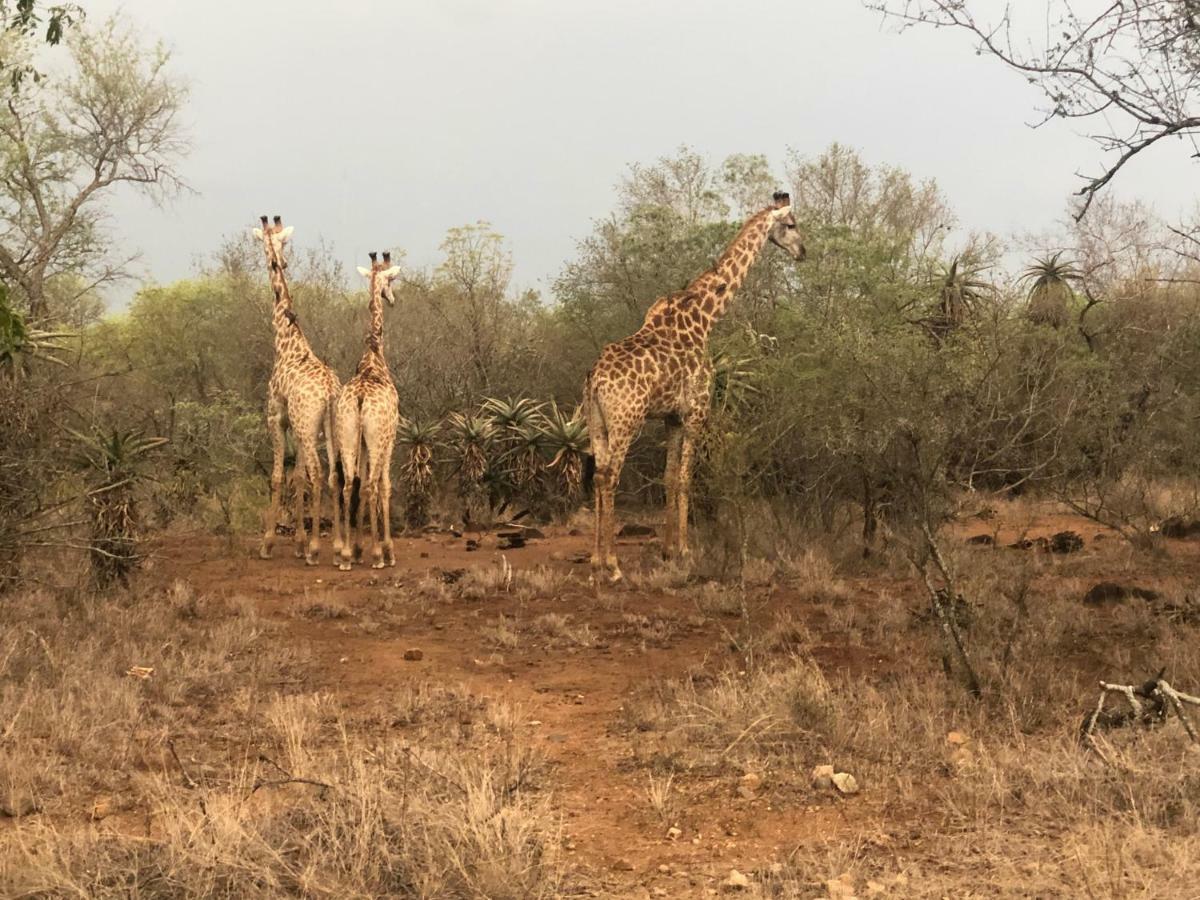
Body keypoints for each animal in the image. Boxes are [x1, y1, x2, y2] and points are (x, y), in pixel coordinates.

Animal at [253, 216, 343, 566]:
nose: (276, 260)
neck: (286, 342)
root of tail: (330, 391)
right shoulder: (300, 426)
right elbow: (299, 477)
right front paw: (300, 542)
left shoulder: (277, 419)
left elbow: (280, 476)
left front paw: (268, 544)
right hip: (332, 426)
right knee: (335, 475)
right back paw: (339, 548)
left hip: (307, 426)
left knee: (320, 473)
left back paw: (318, 550)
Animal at [583, 190, 806, 585]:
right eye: (791, 225)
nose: (803, 252)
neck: (704, 318)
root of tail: (595, 378)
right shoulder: (697, 411)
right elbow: (687, 478)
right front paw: (686, 551)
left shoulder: (671, 417)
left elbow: (669, 478)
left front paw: (669, 551)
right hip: (626, 420)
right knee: (610, 477)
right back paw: (611, 565)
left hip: (595, 422)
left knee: (597, 476)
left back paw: (595, 562)